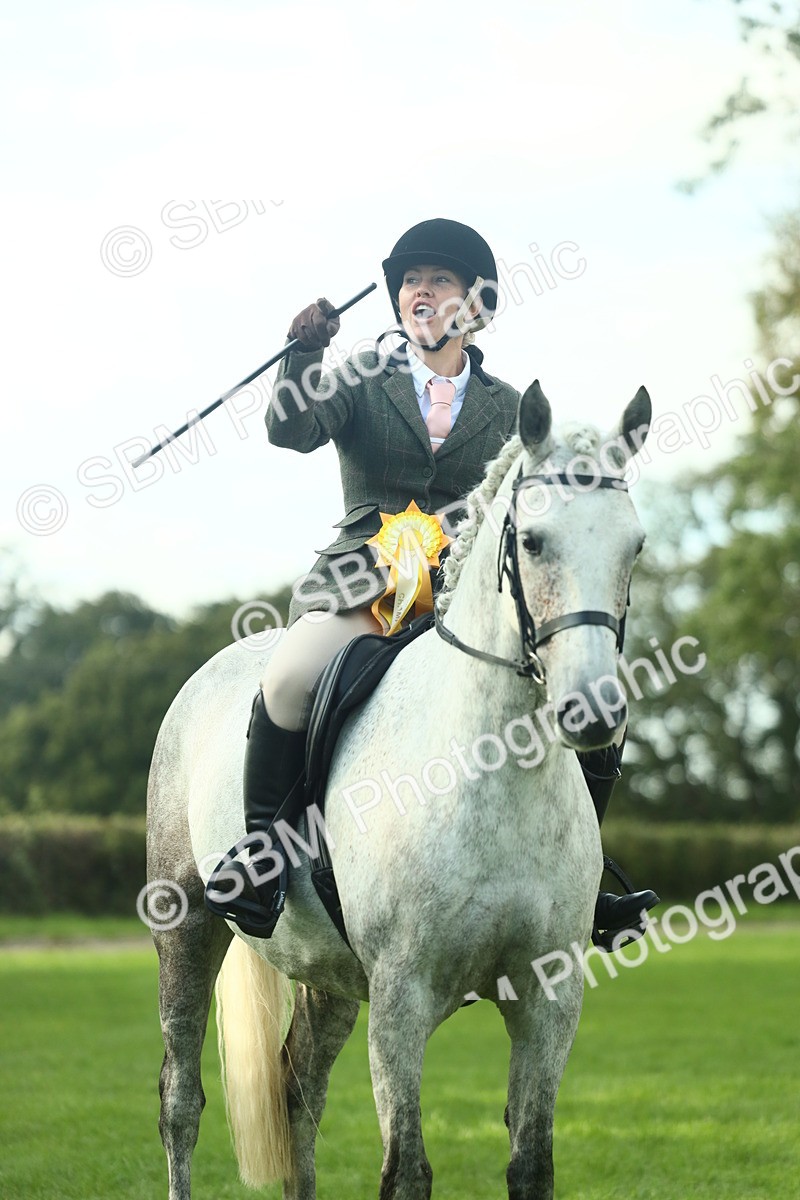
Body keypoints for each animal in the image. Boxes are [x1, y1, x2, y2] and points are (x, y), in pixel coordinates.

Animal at [146, 379, 651, 1200]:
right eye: (534, 542)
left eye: (634, 545)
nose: (593, 712)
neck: (494, 774)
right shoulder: (402, 1000)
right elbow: (406, 1171)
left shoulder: (549, 1000)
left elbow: (532, 1163)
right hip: (185, 927)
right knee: (180, 1101)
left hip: (326, 973)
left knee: (298, 1091)